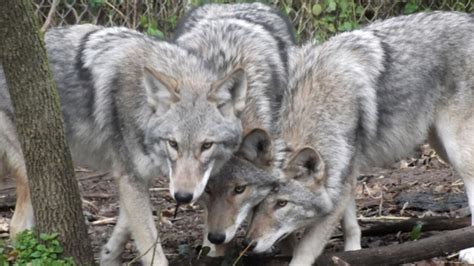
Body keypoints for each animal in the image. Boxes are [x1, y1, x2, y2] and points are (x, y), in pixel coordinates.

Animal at [0, 23, 262, 264]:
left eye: (206, 146)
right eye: (173, 143)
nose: (183, 197)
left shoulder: (134, 177)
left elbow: (126, 224)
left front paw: (108, 255)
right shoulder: (130, 177)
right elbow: (151, 247)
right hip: (32, 173)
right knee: (17, 227)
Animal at [244, 11, 474, 264]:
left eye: (281, 203)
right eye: (255, 205)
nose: (249, 243)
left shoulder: (340, 181)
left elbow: (307, 247)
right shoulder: (346, 175)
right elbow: (351, 225)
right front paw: (353, 252)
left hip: (457, 150)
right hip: (441, 145)